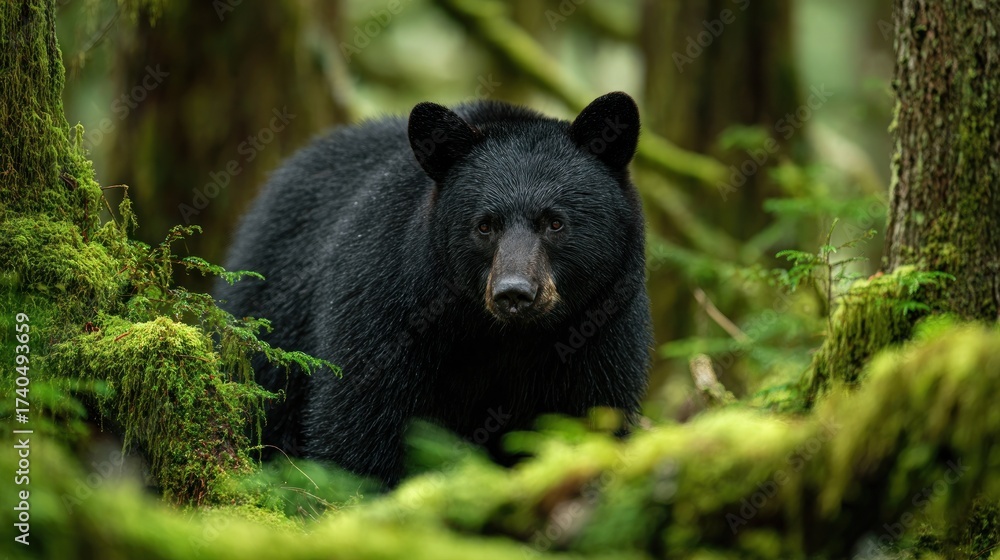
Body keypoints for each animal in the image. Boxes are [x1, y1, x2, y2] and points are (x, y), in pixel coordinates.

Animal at [216, 92, 652, 485]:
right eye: (484, 225)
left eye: (555, 223)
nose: (514, 293)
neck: (502, 337)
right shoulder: (386, 307)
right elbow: (359, 428)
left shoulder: (602, 334)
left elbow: (588, 419)